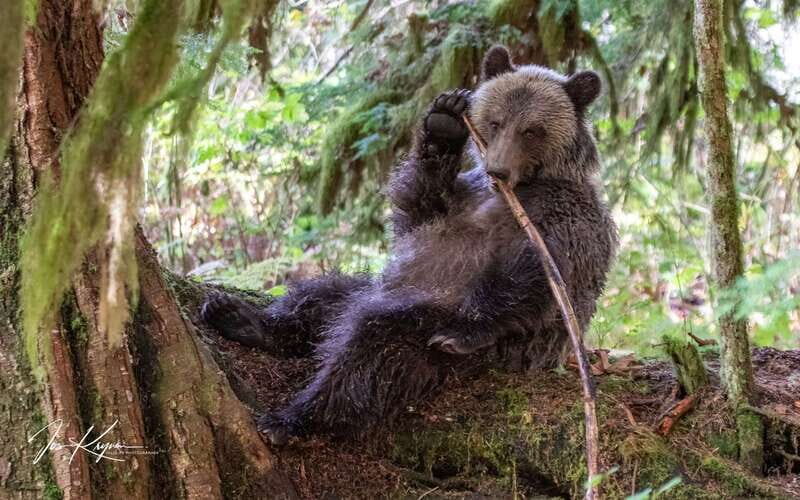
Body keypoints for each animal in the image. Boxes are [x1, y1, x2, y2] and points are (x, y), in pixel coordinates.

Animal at [201, 45, 618, 445]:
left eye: (532, 130)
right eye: (496, 121)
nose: (498, 169)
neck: (514, 191)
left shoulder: (561, 217)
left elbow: (537, 275)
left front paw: (464, 330)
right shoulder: (463, 199)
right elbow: (417, 211)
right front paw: (445, 120)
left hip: (449, 336)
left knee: (375, 349)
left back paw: (294, 419)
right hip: (376, 287)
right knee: (323, 294)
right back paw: (241, 318)